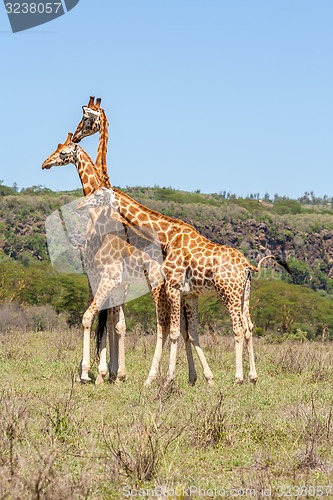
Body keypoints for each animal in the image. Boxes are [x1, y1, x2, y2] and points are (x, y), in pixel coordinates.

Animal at [41, 132, 200, 382]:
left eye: (63, 152)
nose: (44, 163)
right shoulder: (103, 281)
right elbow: (114, 323)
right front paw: (110, 373)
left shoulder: (112, 279)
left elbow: (101, 320)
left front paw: (96, 372)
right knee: (185, 327)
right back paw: (195, 377)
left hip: (158, 283)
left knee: (164, 325)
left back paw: (158, 376)